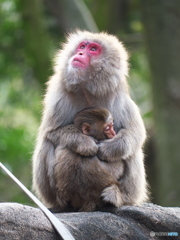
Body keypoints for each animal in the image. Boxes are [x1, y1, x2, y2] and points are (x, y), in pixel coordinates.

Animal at [33, 30, 148, 208]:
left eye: (93, 49)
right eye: (82, 46)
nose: (80, 53)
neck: (86, 88)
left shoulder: (117, 94)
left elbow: (135, 133)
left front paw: (109, 149)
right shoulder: (59, 94)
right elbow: (51, 132)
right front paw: (85, 143)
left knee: (132, 151)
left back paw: (119, 195)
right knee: (47, 143)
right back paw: (61, 201)